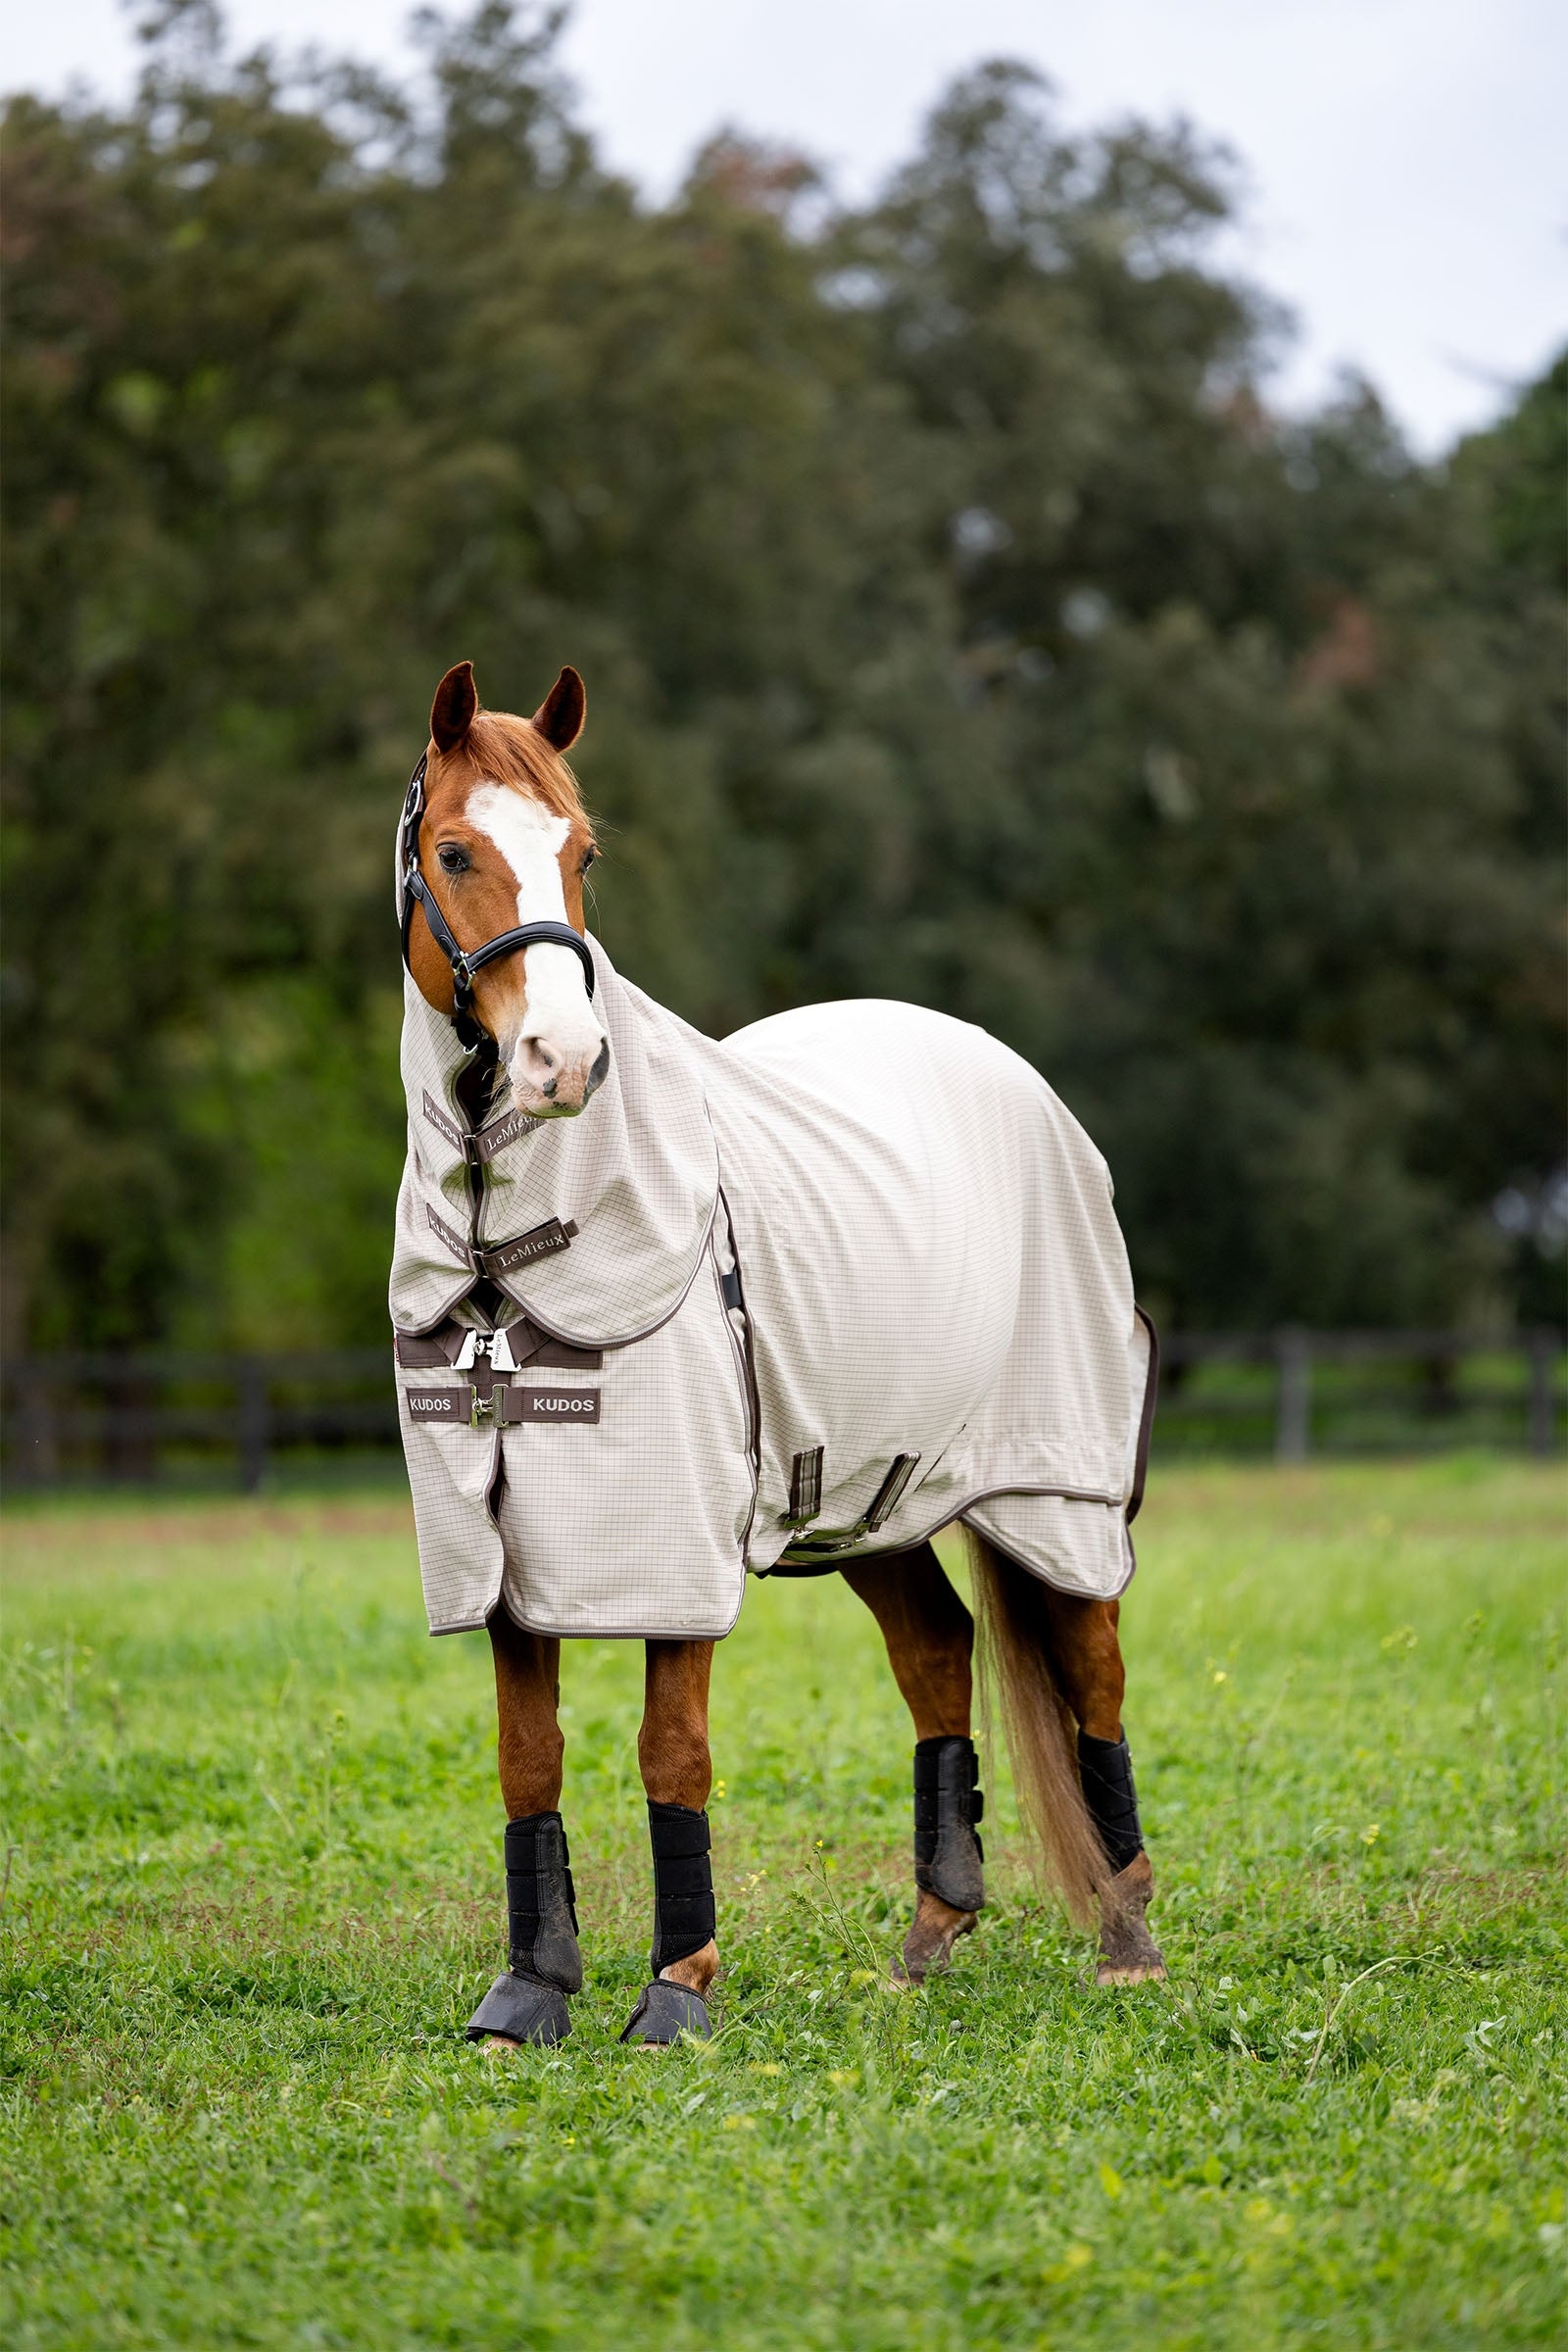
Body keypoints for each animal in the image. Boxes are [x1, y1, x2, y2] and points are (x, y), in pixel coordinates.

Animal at [392, 658, 1166, 2050]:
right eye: (456, 850)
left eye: (581, 853)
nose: (562, 1062)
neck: (504, 1241)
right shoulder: (502, 1546)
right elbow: (528, 1756)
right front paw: (531, 1991)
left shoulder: (675, 1546)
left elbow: (672, 1751)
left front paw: (675, 1991)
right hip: (877, 1494)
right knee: (938, 1653)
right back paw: (930, 1936)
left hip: (1055, 1486)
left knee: (1094, 1668)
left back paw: (1127, 1937)